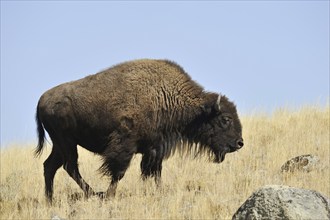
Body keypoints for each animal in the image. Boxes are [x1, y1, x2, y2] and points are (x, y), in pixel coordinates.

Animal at [34, 58, 244, 203]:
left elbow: (155, 172)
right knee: (70, 167)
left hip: (61, 145)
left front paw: (159, 191)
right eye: (225, 119)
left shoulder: (155, 149)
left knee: (50, 166)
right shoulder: (125, 145)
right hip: (67, 143)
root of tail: (42, 100)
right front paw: (110, 195)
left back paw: (50, 200)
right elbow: (119, 172)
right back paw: (94, 194)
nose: (239, 143)